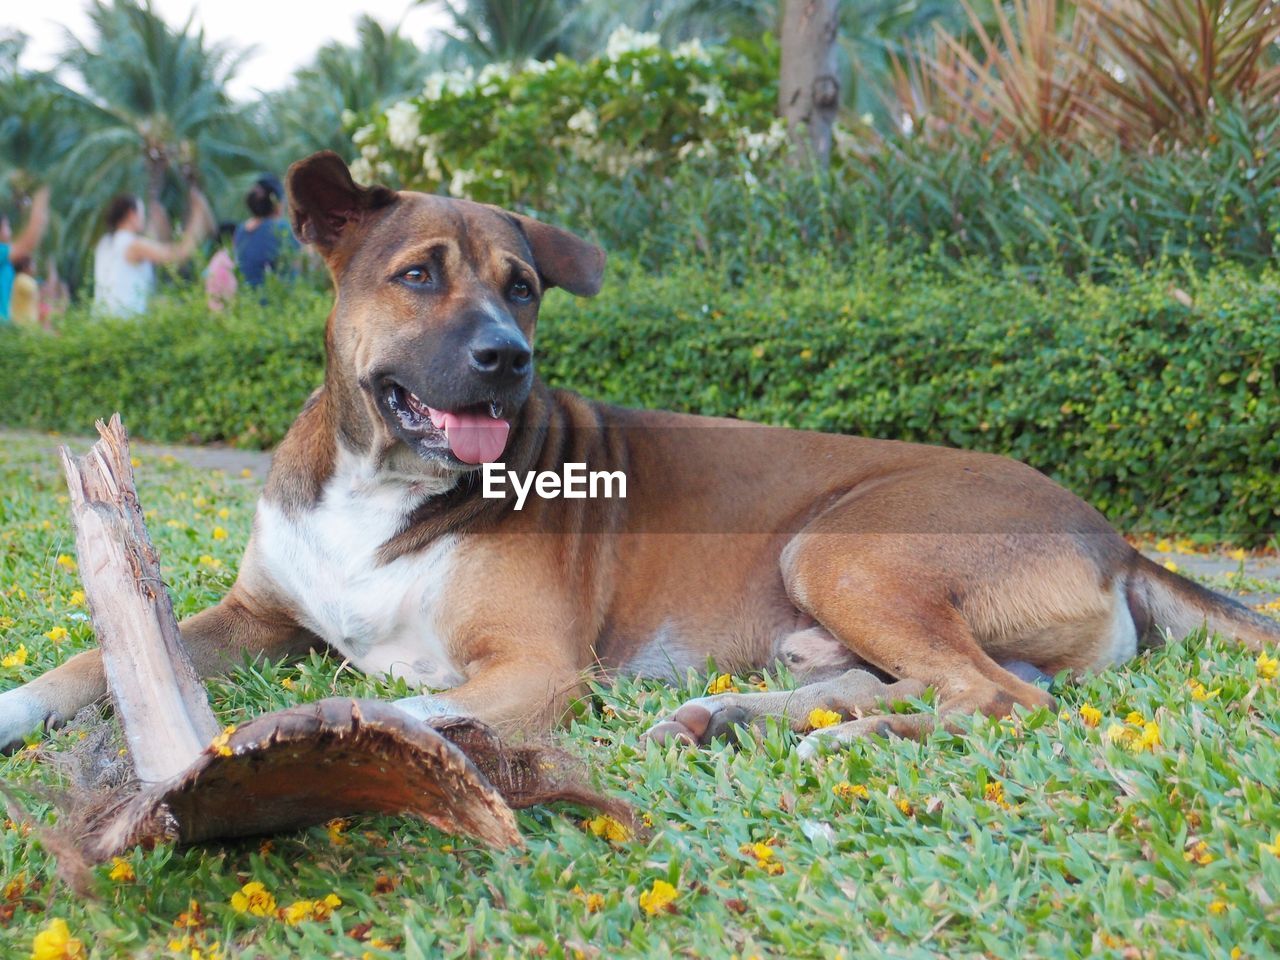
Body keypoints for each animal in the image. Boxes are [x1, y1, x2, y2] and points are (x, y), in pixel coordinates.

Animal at [2, 154, 1280, 757]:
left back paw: (827, 735)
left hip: (844, 547)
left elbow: (406, 704)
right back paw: (737, 718)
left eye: (522, 285)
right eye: (416, 274)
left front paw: (298, 730)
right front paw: (22, 703)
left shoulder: (532, 665)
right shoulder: (254, 615)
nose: (507, 357)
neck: (384, 488)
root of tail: (1114, 537)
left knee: (992, 696)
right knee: (953, 682)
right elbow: (94, 656)